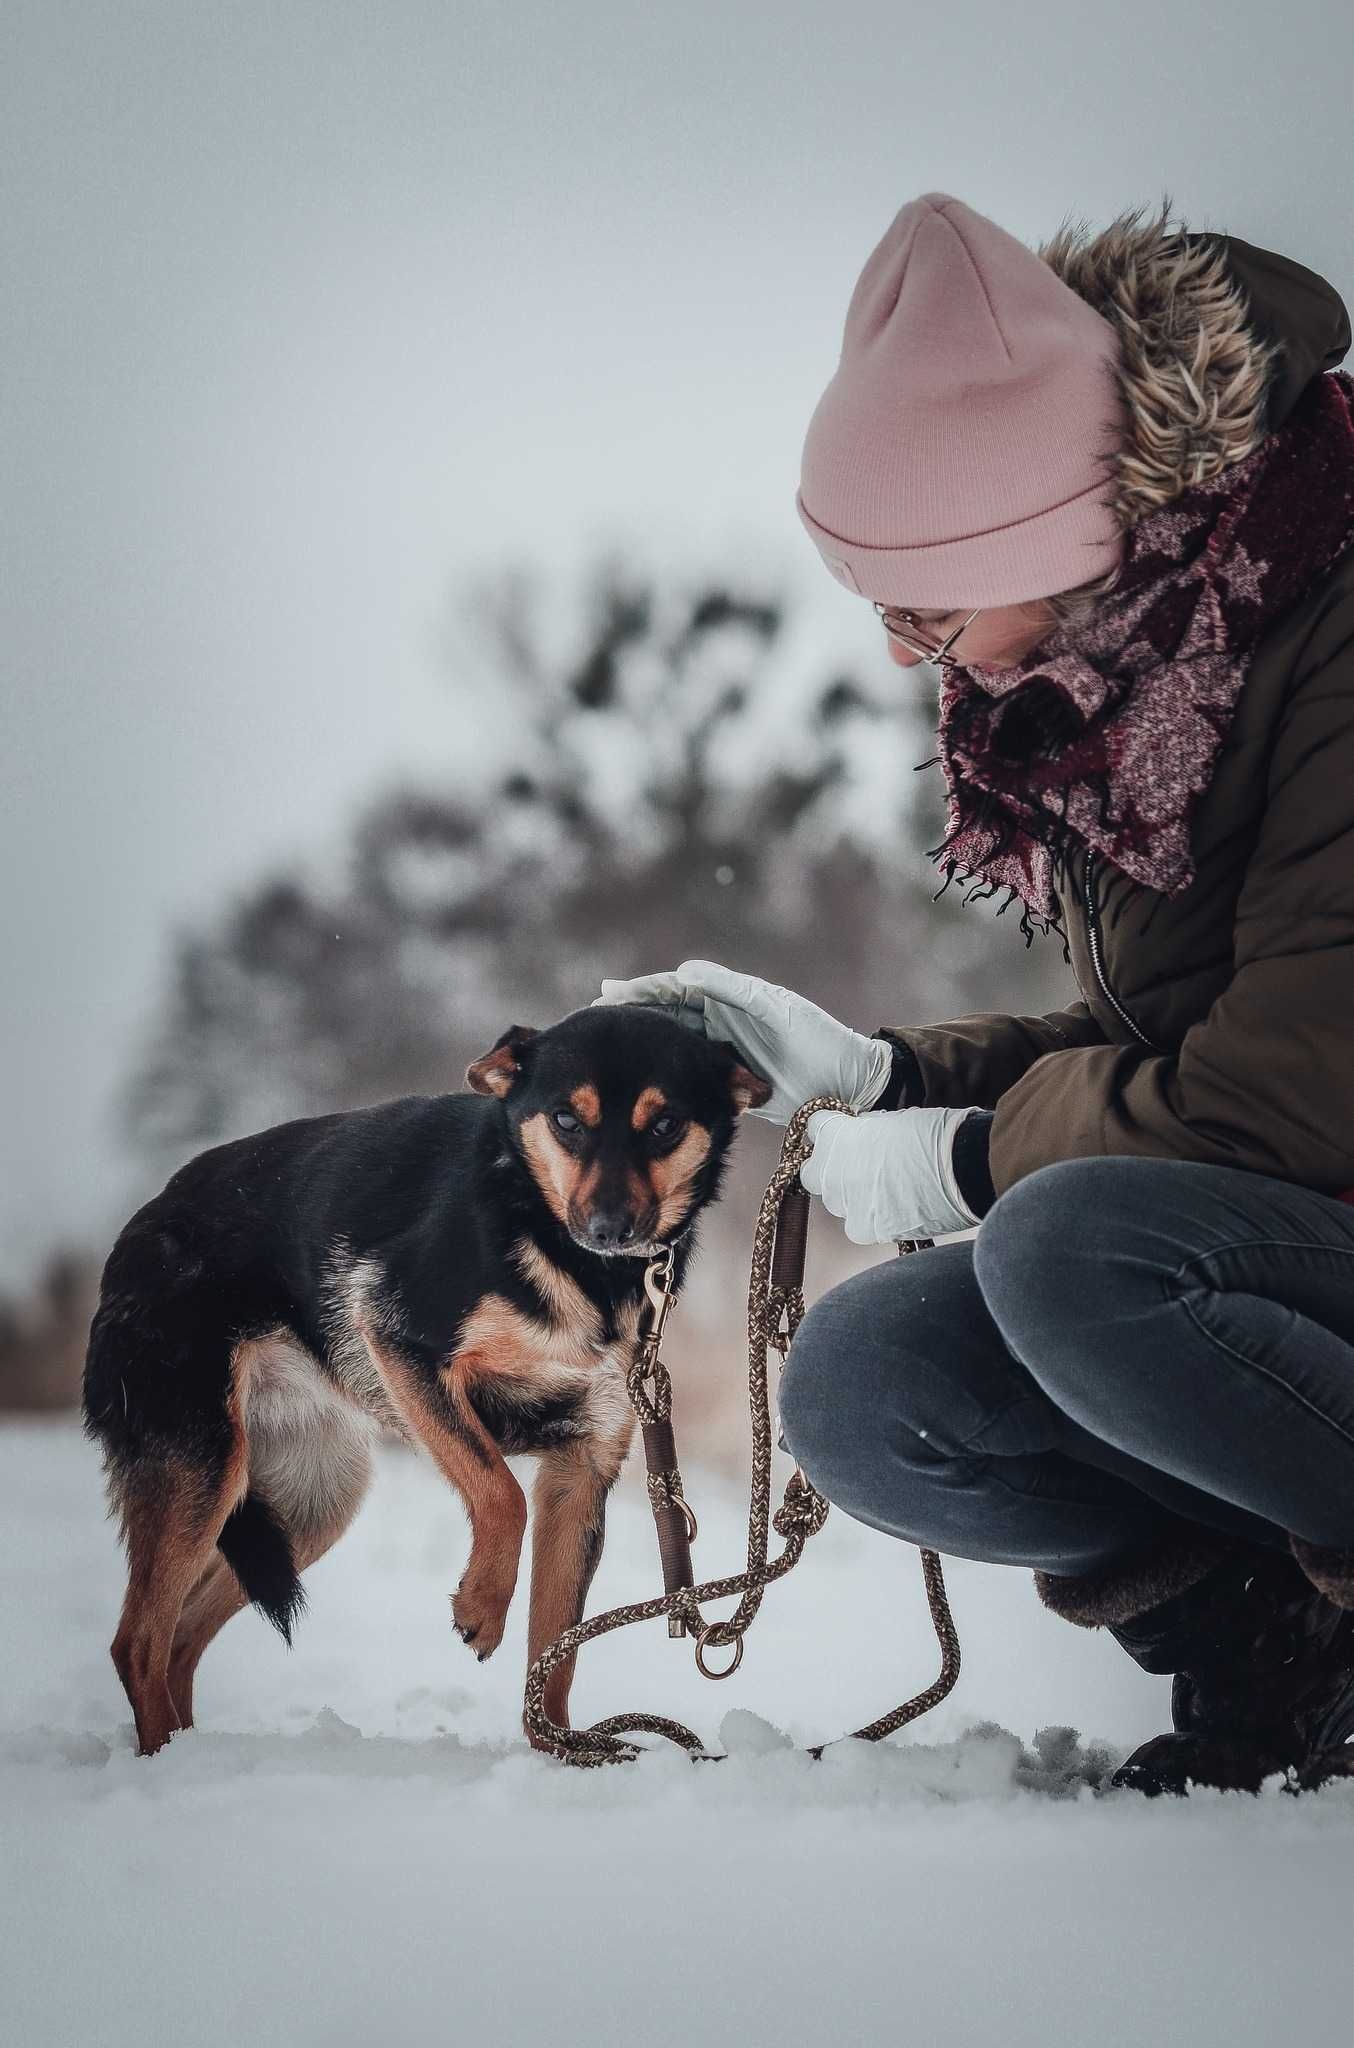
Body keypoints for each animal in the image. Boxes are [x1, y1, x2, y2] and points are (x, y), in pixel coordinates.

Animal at [84, 999, 766, 1753]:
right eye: (567, 1120)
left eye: (666, 1124)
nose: (609, 1228)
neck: (554, 1242)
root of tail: (141, 1226)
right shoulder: (400, 1340)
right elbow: (500, 1492)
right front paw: (481, 1605)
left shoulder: (583, 1466)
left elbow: (555, 1654)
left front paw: (559, 1753)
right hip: (203, 1467)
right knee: (137, 1644)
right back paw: (161, 1758)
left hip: (313, 1499)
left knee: (178, 1641)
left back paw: (189, 1754)